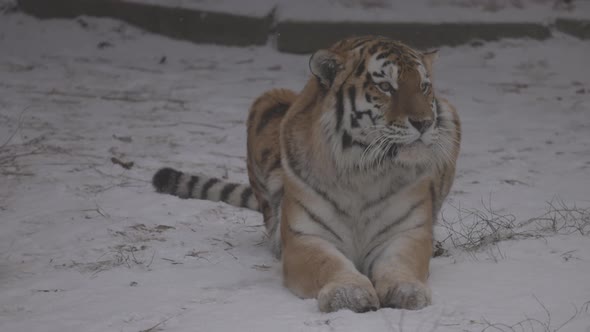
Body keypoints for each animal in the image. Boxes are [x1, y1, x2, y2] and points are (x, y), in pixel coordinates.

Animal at [153, 37, 462, 314]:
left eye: (424, 86)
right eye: (385, 86)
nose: (425, 123)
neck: (365, 172)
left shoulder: (407, 233)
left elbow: (400, 263)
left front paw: (407, 291)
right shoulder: (306, 238)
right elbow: (329, 264)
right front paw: (348, 293)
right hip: (267, 101)